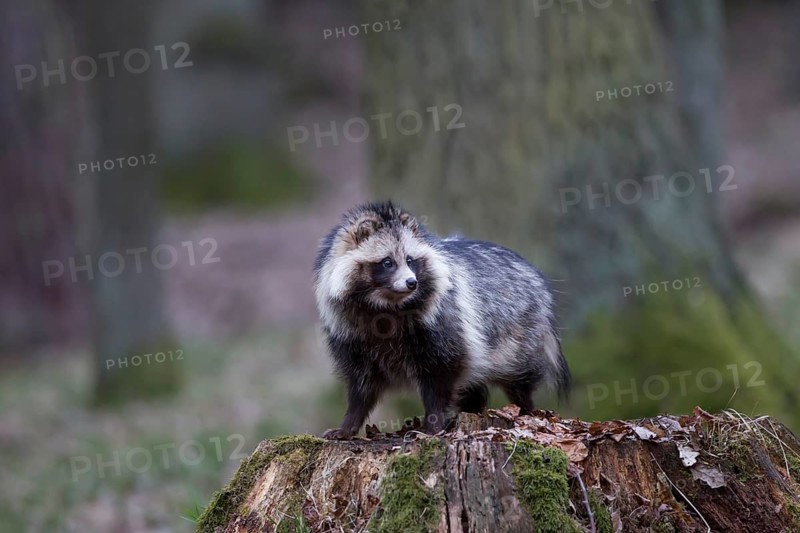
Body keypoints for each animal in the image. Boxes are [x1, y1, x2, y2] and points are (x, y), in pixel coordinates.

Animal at [313, 202, 570, 439]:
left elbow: (441, 375)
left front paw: (433, 424)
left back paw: (524, 408)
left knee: (519, 378)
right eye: (387, 262)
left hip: (519, 333)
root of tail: (536, 277)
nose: (411, 283)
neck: (387, 307)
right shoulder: (352, 335)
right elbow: (361, 385)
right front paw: (348, 424)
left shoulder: (443, 323)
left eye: (410, 260)